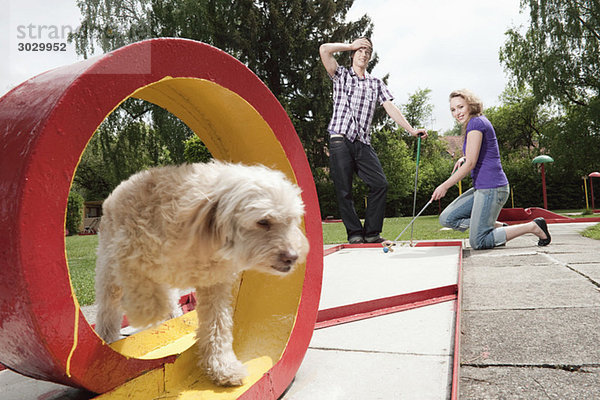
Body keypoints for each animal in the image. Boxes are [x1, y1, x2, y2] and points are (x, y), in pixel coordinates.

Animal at [95, 161, 310, 386]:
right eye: (263, 221)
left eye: (291, 221)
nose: (292, 257)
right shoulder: (128, 249)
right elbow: (142, 288)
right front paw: (144, 313)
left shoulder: (214, 285)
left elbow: (218, 325)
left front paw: (223, 367)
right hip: (108, 268)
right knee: (109, 306)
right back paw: (108, 337)